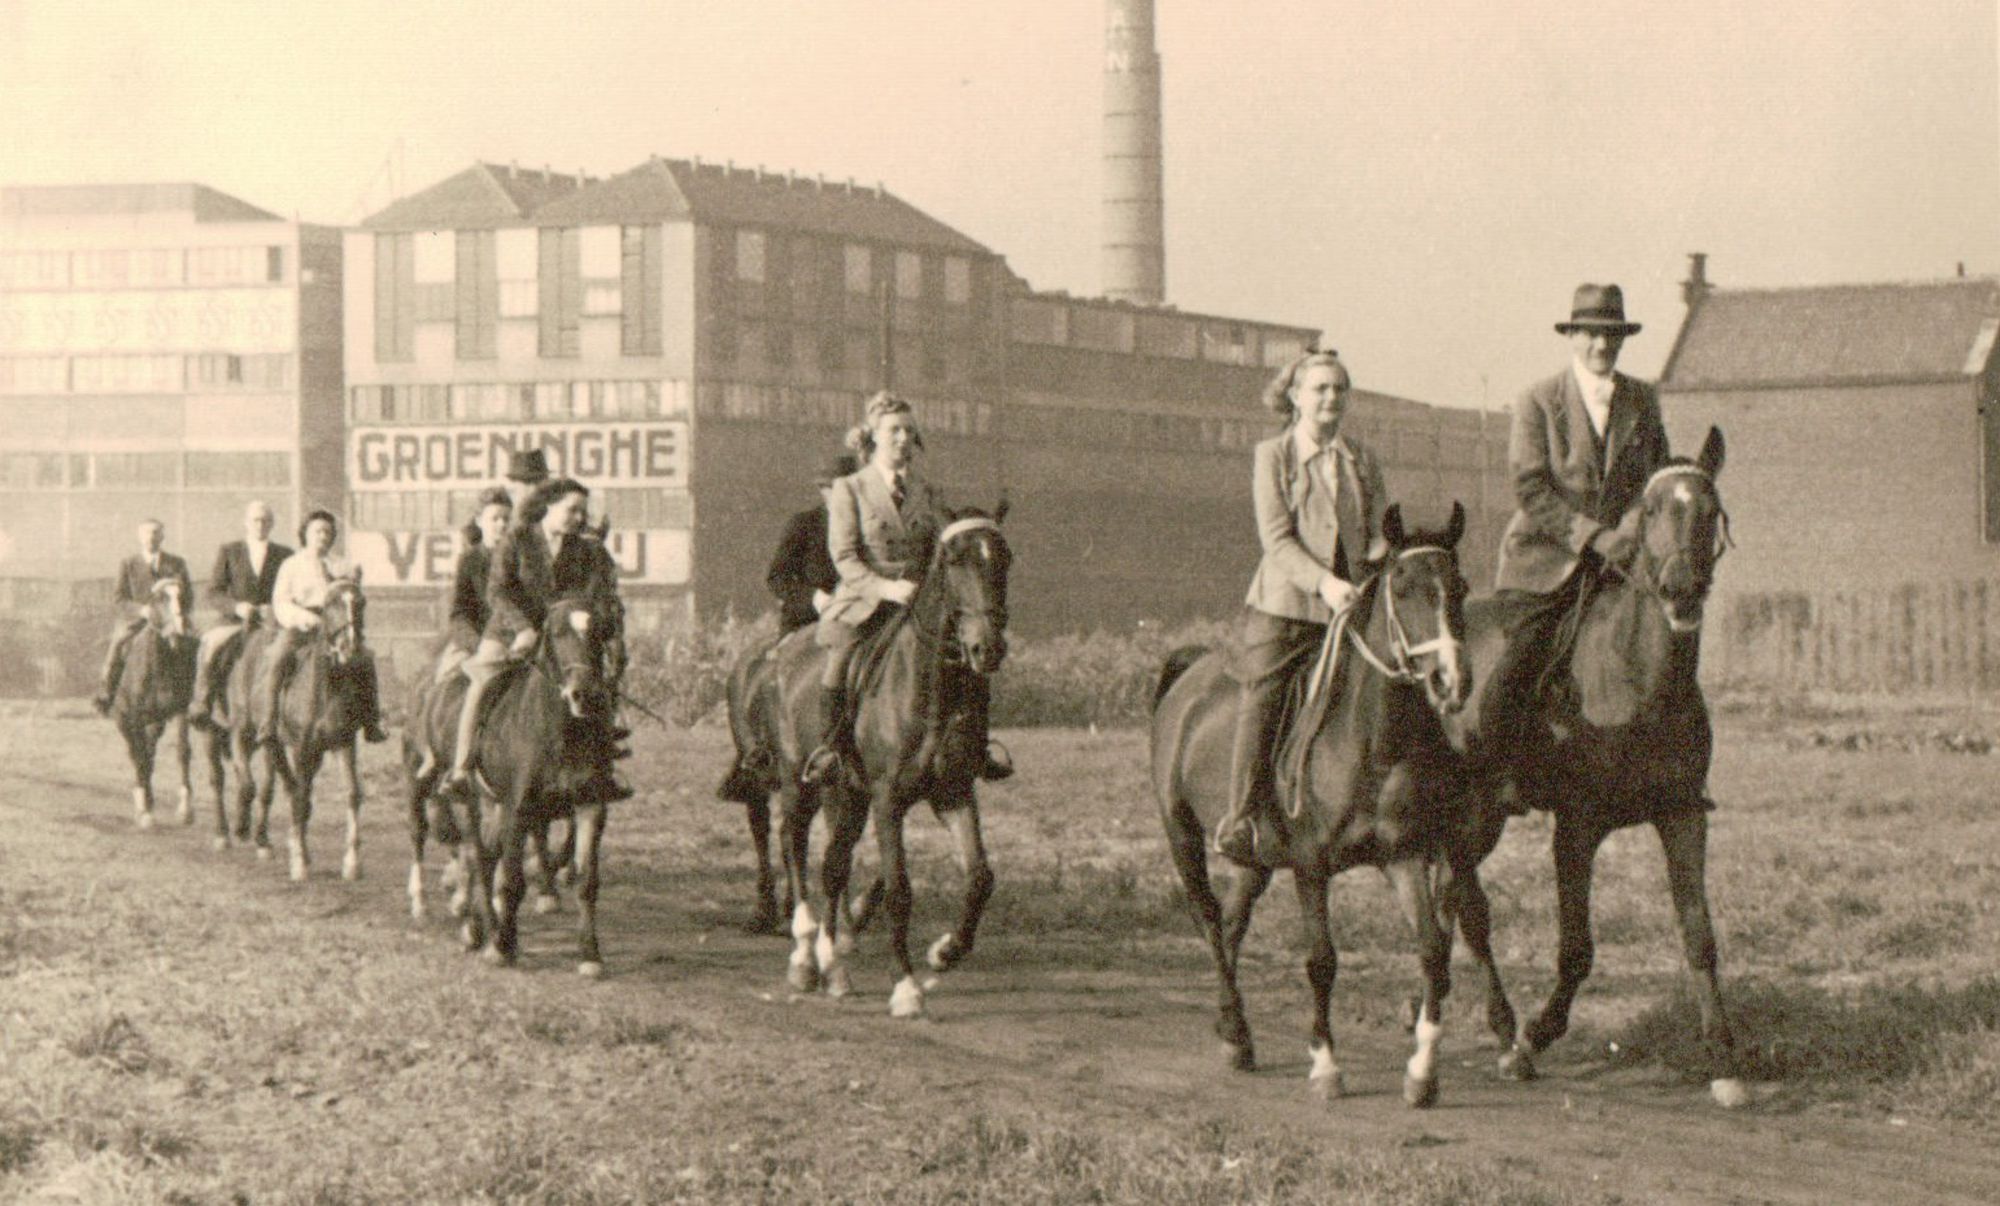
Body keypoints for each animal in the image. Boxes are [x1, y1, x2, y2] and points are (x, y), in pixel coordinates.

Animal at [106, 580, 197, 832]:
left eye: (182, 596)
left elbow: (182, 752)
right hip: (124, 721)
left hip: (155, 723)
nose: (180, 626)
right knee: (137, 754)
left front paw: (185, 809)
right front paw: (144, 812)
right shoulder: (135, 717)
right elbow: (140, 759)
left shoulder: (182, 710)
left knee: (149, 752)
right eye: (160, 599)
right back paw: (143, 799)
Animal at [408, 600, 616, 976]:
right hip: (472, 799)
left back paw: (484, 927)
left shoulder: (591, 806)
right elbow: (512, 881)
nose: (586, 695)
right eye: (557, 632)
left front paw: (590, 954)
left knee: (486, 857)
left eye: (599, 630)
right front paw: (502, 946)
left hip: (495, 806)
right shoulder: (520, 808)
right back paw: (479, 929)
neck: (560, 732)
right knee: (479, 859)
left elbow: (586, 881)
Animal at [740, 510, 1008, 1020]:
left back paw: (834, 968)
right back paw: (804, 956)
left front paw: (946, 950)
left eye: (1005, 559)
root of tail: (781, 653)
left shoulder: (953, 792)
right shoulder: (888, 799)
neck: (931, 688)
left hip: (847, 792)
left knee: (834, 865)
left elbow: (981, 876)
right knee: (794, 844)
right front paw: (905, 987)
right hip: (800, 782)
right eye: (954, 559)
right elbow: (900, 890)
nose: (987, 648)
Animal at [1152, 504, 1480, 1112]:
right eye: (1404, 587)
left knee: (1230, 925)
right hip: (1180, 834)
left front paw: (1422, 1071)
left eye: (1460, 588)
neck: (1373, 741)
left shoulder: (1404, 856)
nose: (1453, 681)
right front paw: (1326, 1066)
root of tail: (1190, 671)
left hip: (1254, 861)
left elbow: (1432, 950)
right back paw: (1237, 1029)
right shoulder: (1310, 867)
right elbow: (1322, 962)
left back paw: (1232, 1032)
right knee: (1208, 919)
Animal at [1440, 430, 1752, 1112]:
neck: (1637, 677)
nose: (1682, 588)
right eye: (1652, 510)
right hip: (1470, 812)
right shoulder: (1577, 828)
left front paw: (1724, 1059)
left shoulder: (1683, 815)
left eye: (1710, 510)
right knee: (1470, 906)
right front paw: (1534, 1037)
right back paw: (1502, 1028)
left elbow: (1700, 935)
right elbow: (1577, 950)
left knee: (1447, 896)